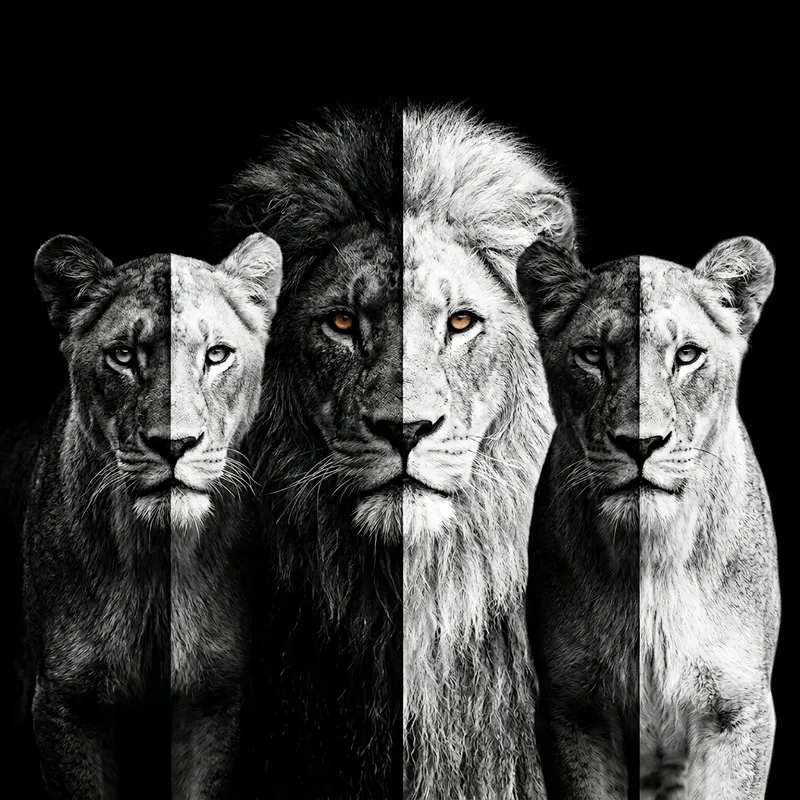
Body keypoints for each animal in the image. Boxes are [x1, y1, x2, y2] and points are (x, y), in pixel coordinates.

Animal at [19, 232, 282, 797]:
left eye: (216, 355)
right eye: (123, 356)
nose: (174, 443)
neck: (155, 561)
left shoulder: (215, 695)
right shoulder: (64, 699)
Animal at [518, 236, 780, 798]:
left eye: (687, 355)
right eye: (593, 355)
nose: (641, 443)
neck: (653, 556)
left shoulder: (738, 710)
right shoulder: (574, 710)